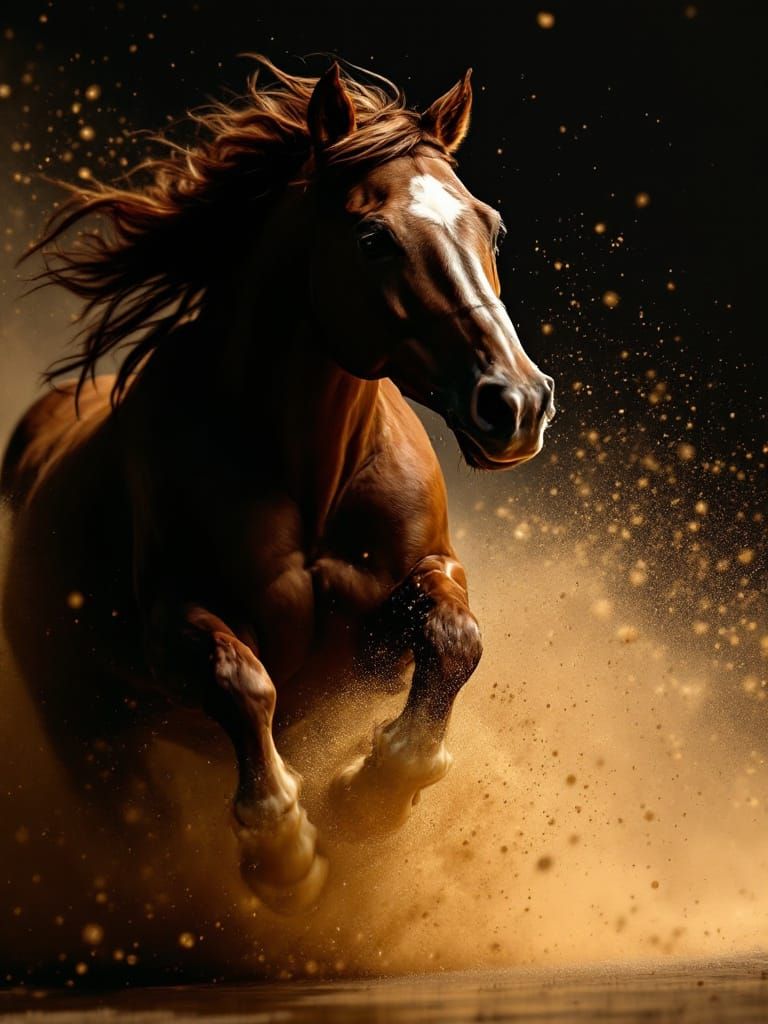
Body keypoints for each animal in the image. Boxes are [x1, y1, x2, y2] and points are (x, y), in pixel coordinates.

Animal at [0, 59, 555, 913]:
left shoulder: (413, 594)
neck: (311, 477)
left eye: (489, 227)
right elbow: (242, 683)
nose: (516, 403)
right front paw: (284, 848)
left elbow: (455, 639)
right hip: (94, 748)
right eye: (373, 238)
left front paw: (369, 793)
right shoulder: (174, 623)